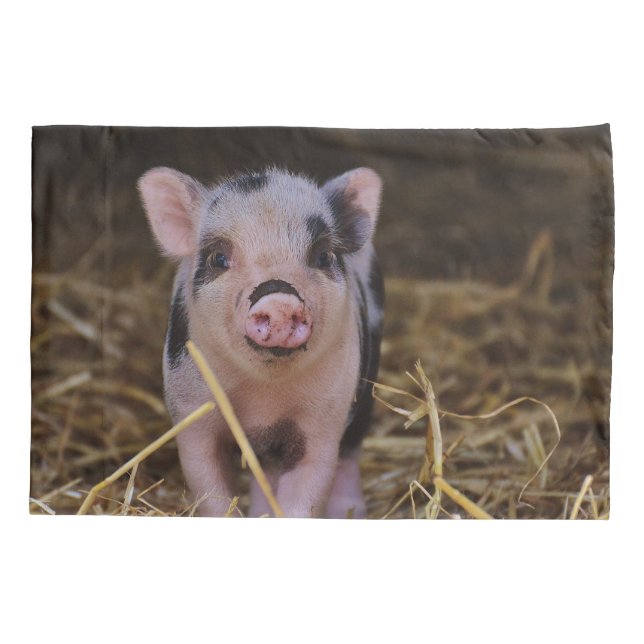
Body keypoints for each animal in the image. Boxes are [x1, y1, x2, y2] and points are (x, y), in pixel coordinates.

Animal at [138, 165, 384, 518]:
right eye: (218, 258)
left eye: (323, 255)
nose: (278, 299)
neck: (264, 399)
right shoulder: (191, 413)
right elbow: (210, 490)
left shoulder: (323, 421)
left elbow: (308, 491)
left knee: (350, 452)